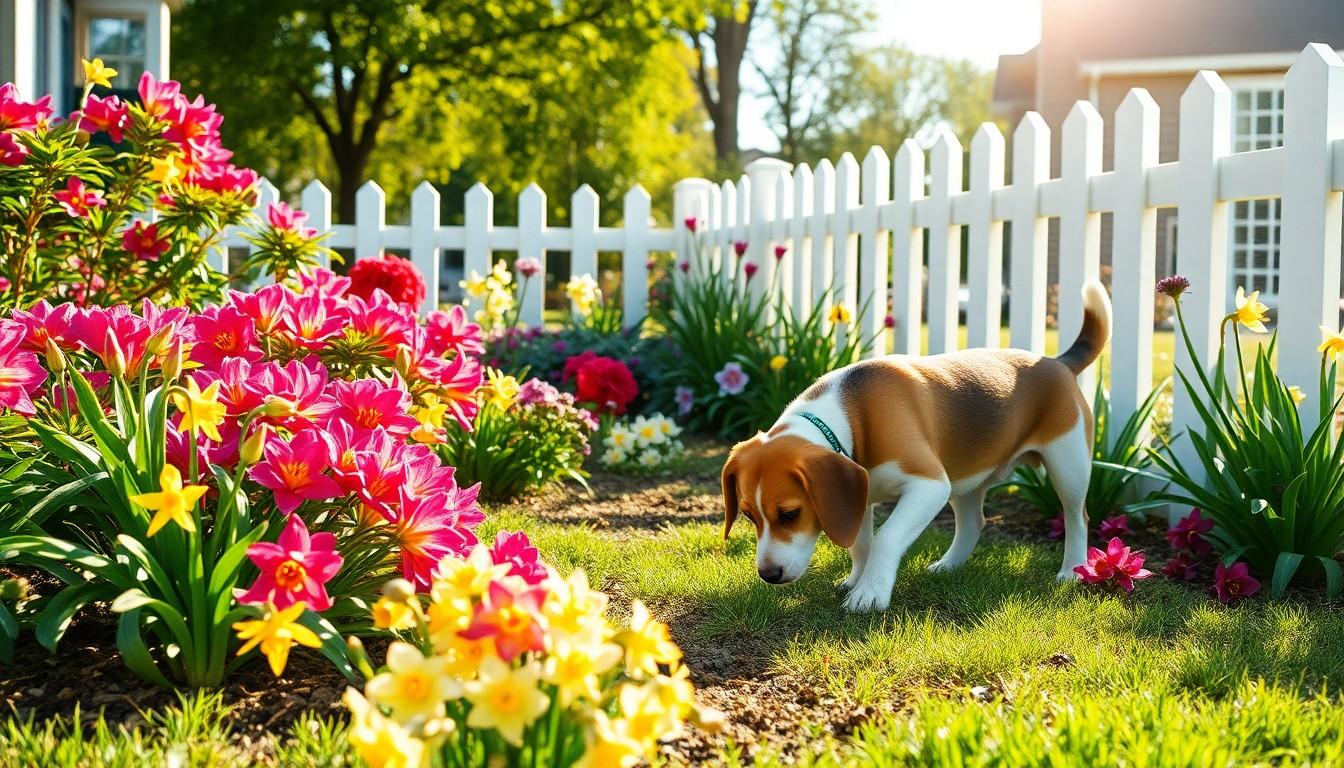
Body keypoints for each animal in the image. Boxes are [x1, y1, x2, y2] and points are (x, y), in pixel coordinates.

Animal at [725, 282, 1112, 613]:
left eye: (790, 514)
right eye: (748, 515)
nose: (768, 575)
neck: (849, 415)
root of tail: (1058, 362)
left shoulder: (929, 486)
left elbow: (885, 538)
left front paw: (870, 593)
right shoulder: (858, 497)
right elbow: (860, 544)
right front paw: (857, 579)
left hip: (1067, 464)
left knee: (1077, 517)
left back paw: (1071, 571)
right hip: (965, 477)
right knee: (973, 522)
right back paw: (949, 566)